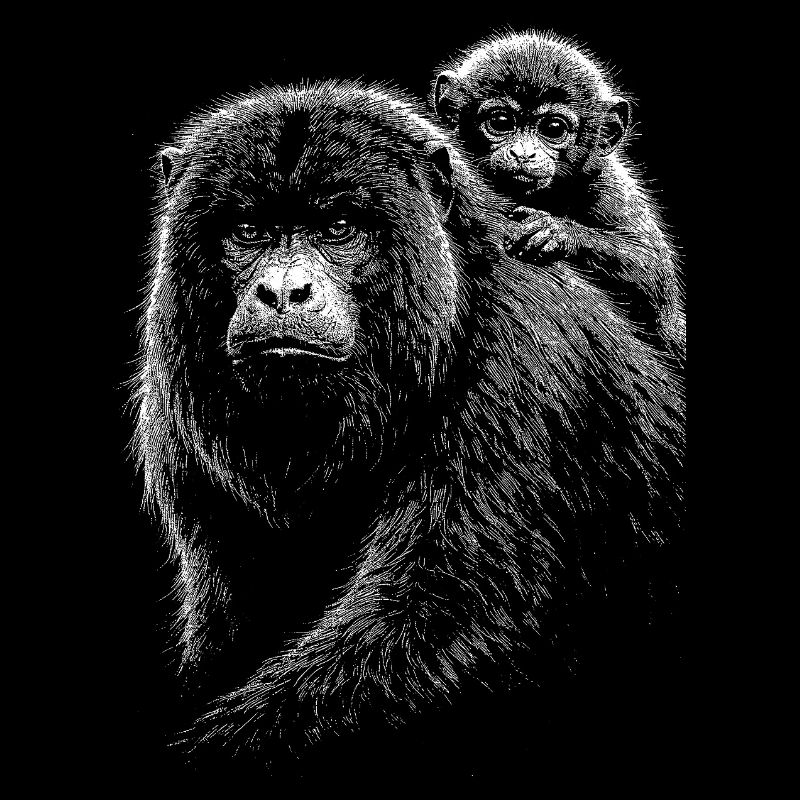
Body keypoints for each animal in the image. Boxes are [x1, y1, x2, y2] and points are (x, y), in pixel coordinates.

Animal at [432, 30, 685, 357]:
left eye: (553, 128)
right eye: (501, 122)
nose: (523, 153)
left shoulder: (611, 189)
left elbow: (651, 271)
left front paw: (556, 231)